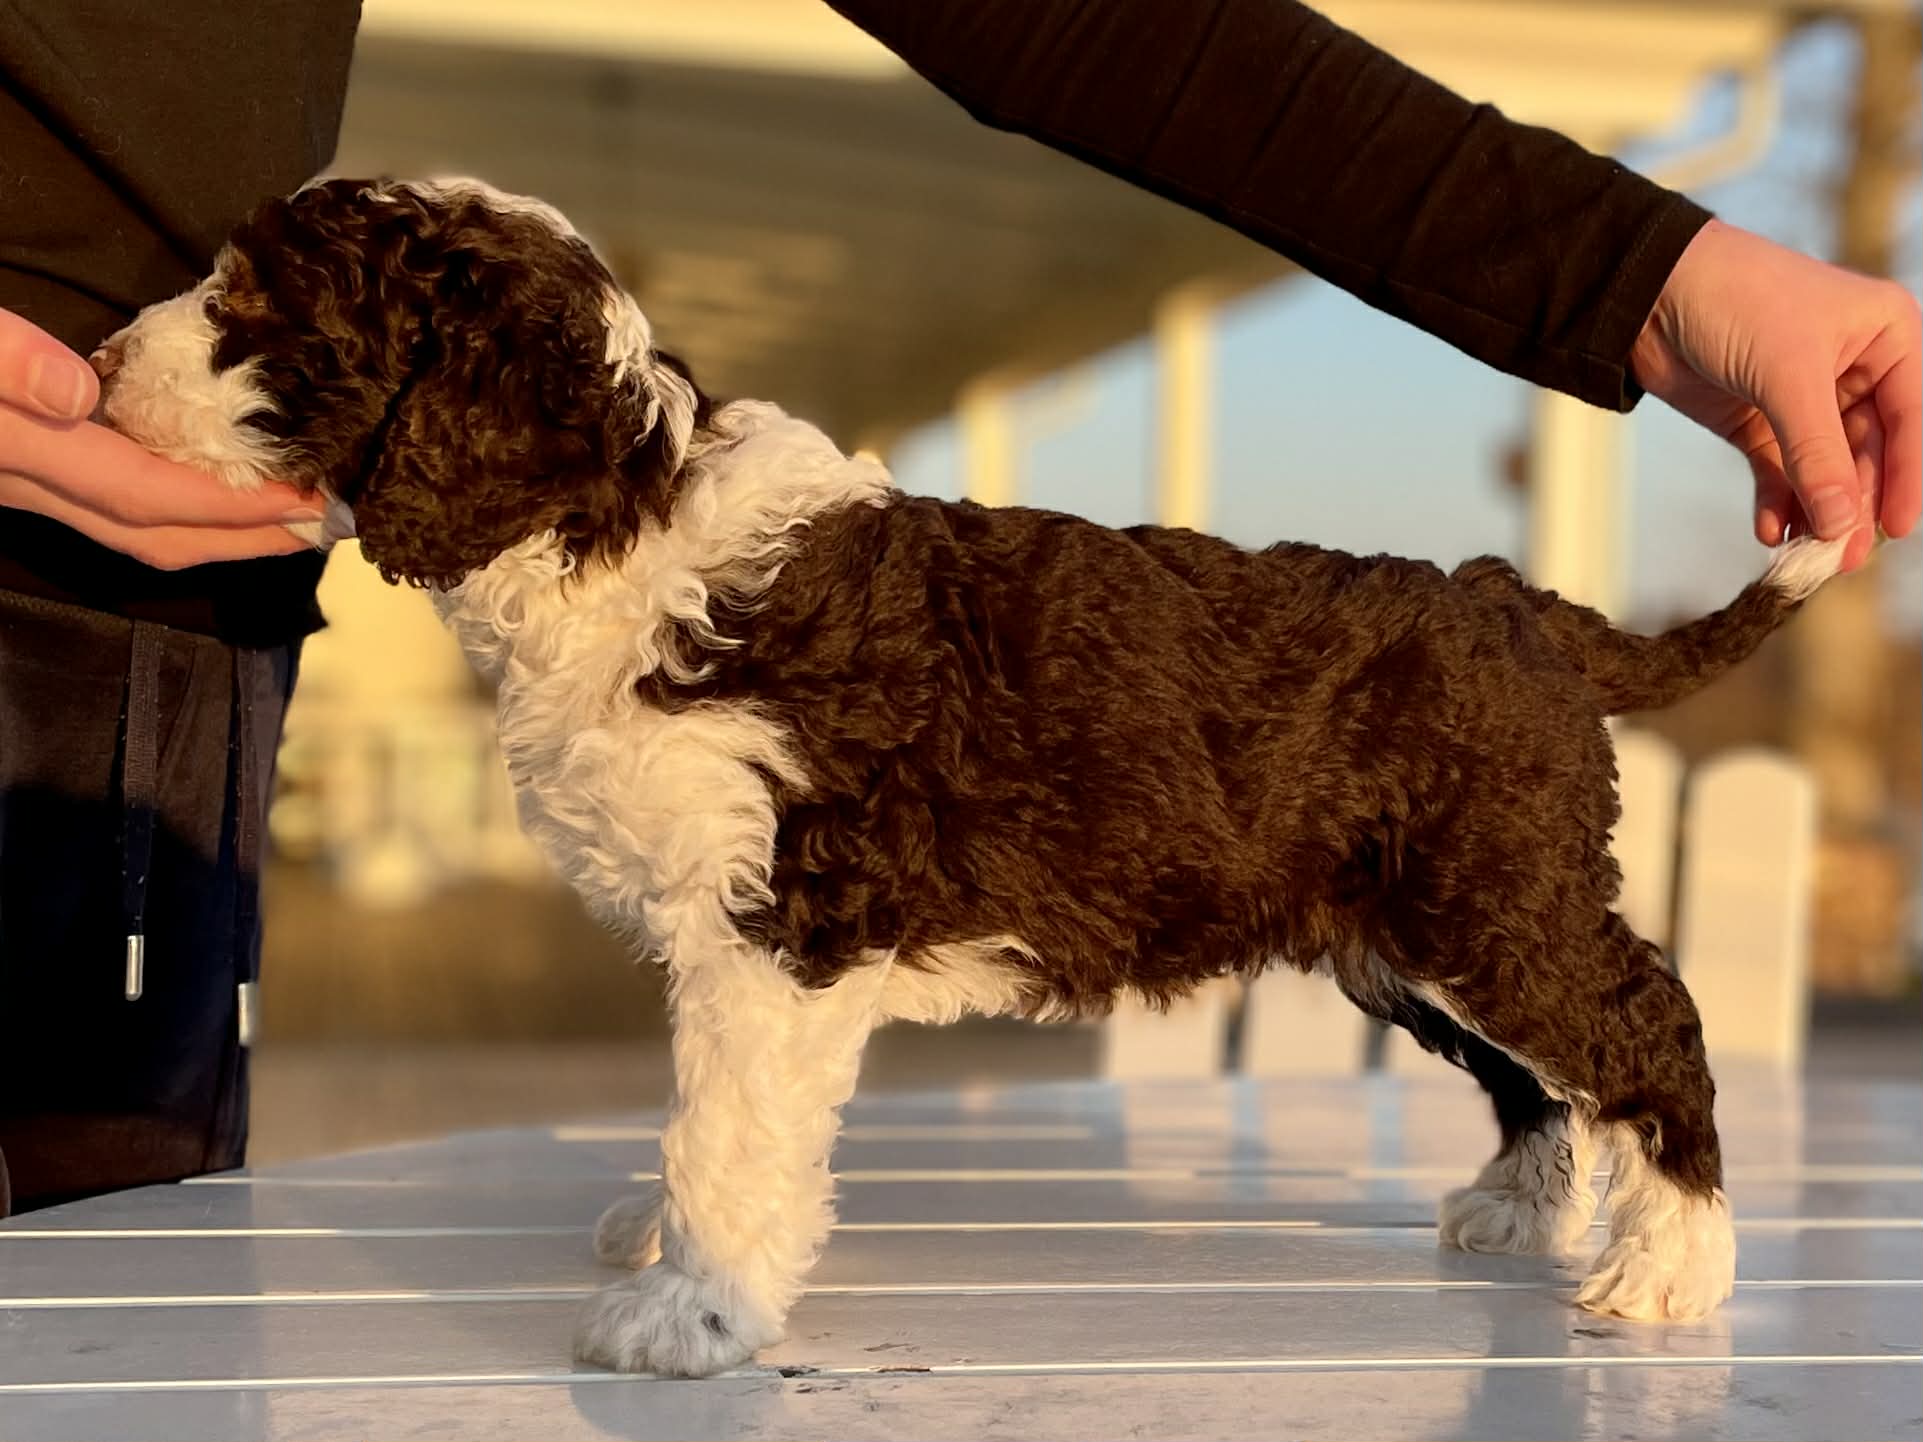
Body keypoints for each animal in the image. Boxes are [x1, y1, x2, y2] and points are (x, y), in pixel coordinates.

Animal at [91, 176, 1848, 1377]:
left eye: (251, 298)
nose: (98, 365)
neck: (623, 519)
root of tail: (1517, 604)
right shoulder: (726, 922)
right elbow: (697, 1107)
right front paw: (677, 1247)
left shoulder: (779, 917)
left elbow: (725, 1120)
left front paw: (689, 1307)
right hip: (1407, 922)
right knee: (1541, 1067)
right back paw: (1519, 1206)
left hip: (1488, 896)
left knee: (1641, 1024)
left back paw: (1672, 1268)